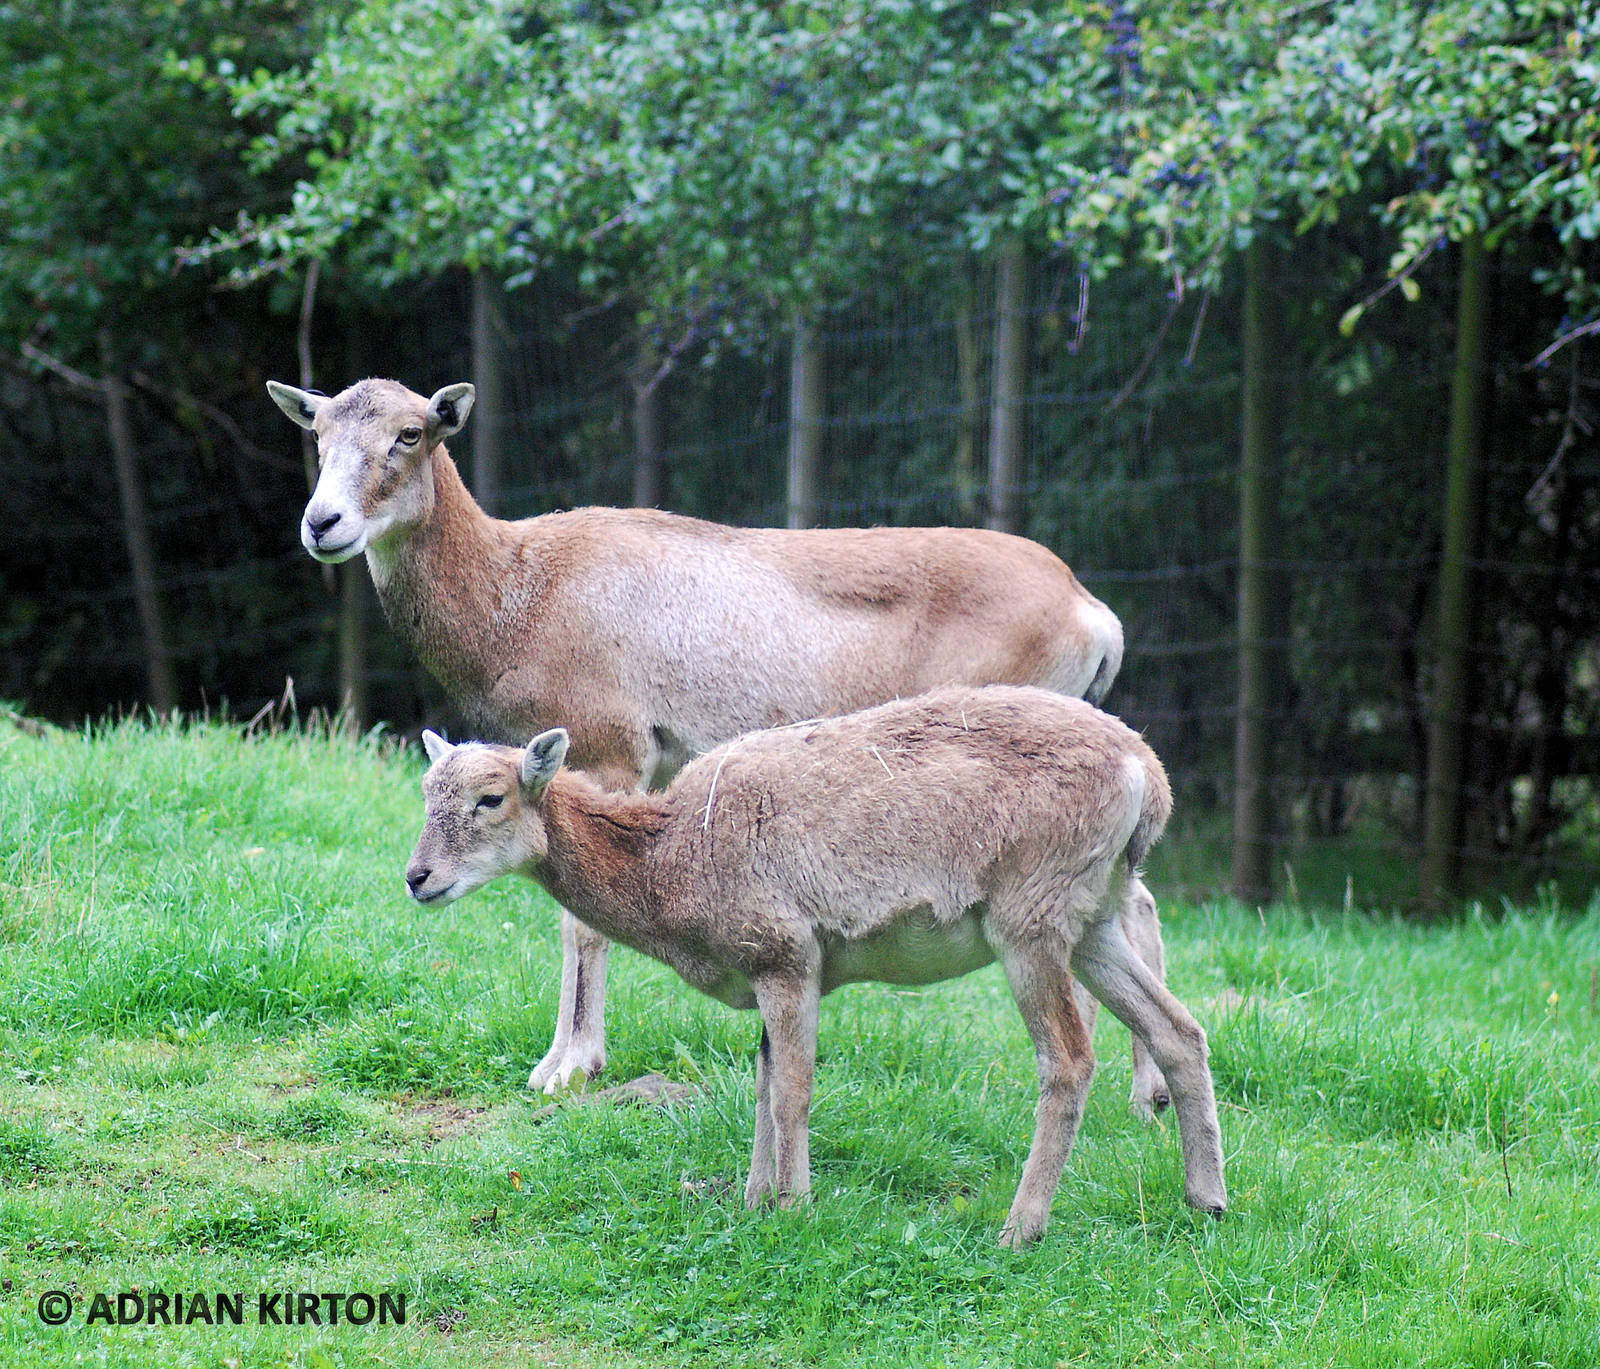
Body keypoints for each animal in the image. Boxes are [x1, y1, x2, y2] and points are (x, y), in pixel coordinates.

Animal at [266, 376, 1170, 1115]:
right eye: (317, 434)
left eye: (410, 432)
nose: (322, 523)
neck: (518, 591)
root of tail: (1095, 614)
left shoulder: (612, 750)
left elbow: (578, 923)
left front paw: (567, 1067)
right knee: (1140, 904)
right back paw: (1150, 1093)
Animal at [404, 684, 1226, 1246]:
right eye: (424, 791)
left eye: (490, 797)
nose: (417, 878)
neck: (670, 864)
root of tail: (1149, 779)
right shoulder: (766, 970)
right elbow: (765, 1083)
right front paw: (753, 1200)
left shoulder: (786, 955)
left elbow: (792, 1091)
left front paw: (794, 1210)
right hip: (1094, 920)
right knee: (1181, 1029)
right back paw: (1207, 1200)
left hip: (1032, 920)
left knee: (1070, 1060)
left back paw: (1019, 1228)